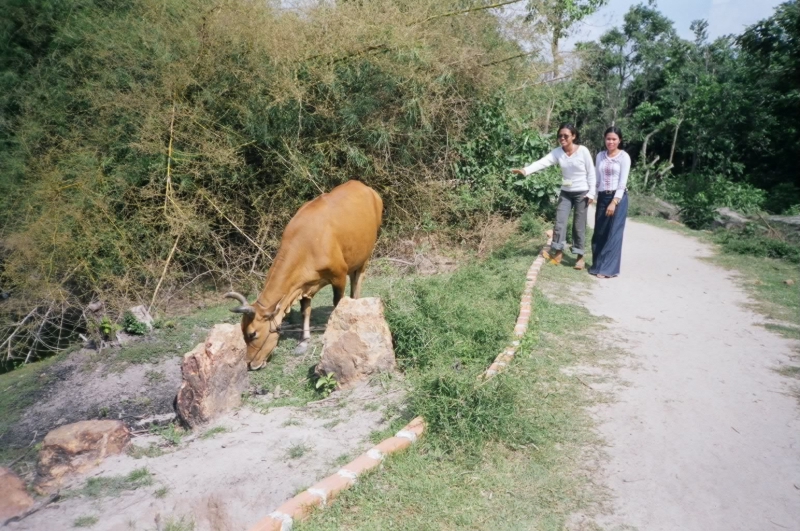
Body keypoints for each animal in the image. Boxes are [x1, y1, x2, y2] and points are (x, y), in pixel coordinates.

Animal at [223, 179, 382, 370]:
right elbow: (305, 310)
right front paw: (303, 341)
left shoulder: (338, 275)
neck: (306, 243)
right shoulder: (304, 284)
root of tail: (365, 187)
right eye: (242, 331)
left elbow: (337, 303)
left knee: (357, 281)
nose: (250, 364)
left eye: (252, 333)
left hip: (365, 256)